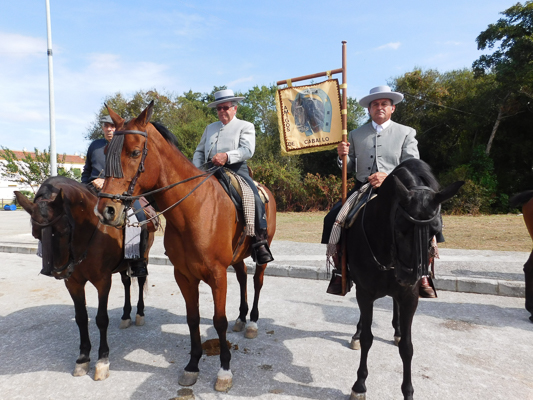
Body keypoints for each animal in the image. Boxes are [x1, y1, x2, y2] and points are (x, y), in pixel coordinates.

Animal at [14, 178, 154, 382]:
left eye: (64, 229)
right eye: (35, 233)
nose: (58, 271)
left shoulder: (103, 281)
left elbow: (101, 319)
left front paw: (102, 360)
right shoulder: (73, 283)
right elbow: (81, 318)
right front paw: (82, 359)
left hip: (143, 257)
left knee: (141, 280)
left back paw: (139, 314)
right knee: (126, 283)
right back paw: (126, 315)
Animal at [95, 100, 276, 390]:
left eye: (134, 152)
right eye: (105, 151)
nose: (106, 210)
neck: (193, 209)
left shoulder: (216, 275)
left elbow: (218, 321)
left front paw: (224, 370)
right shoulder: (184, 275)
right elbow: (192, 319)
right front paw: (192, 365)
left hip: (261, 252)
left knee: (257, 282)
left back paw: (252, 323)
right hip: (236, 258)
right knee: (242, 279)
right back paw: (241, 318)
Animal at [344, 159, 462, 400]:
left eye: (435, 230)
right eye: (400, 226)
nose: (409, 275)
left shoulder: (409, 297)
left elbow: (407, 347)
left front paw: (408, 392)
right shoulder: (364, 293)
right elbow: (368, 338)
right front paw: (359, 385)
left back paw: (396, 330)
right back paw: (357, 334)